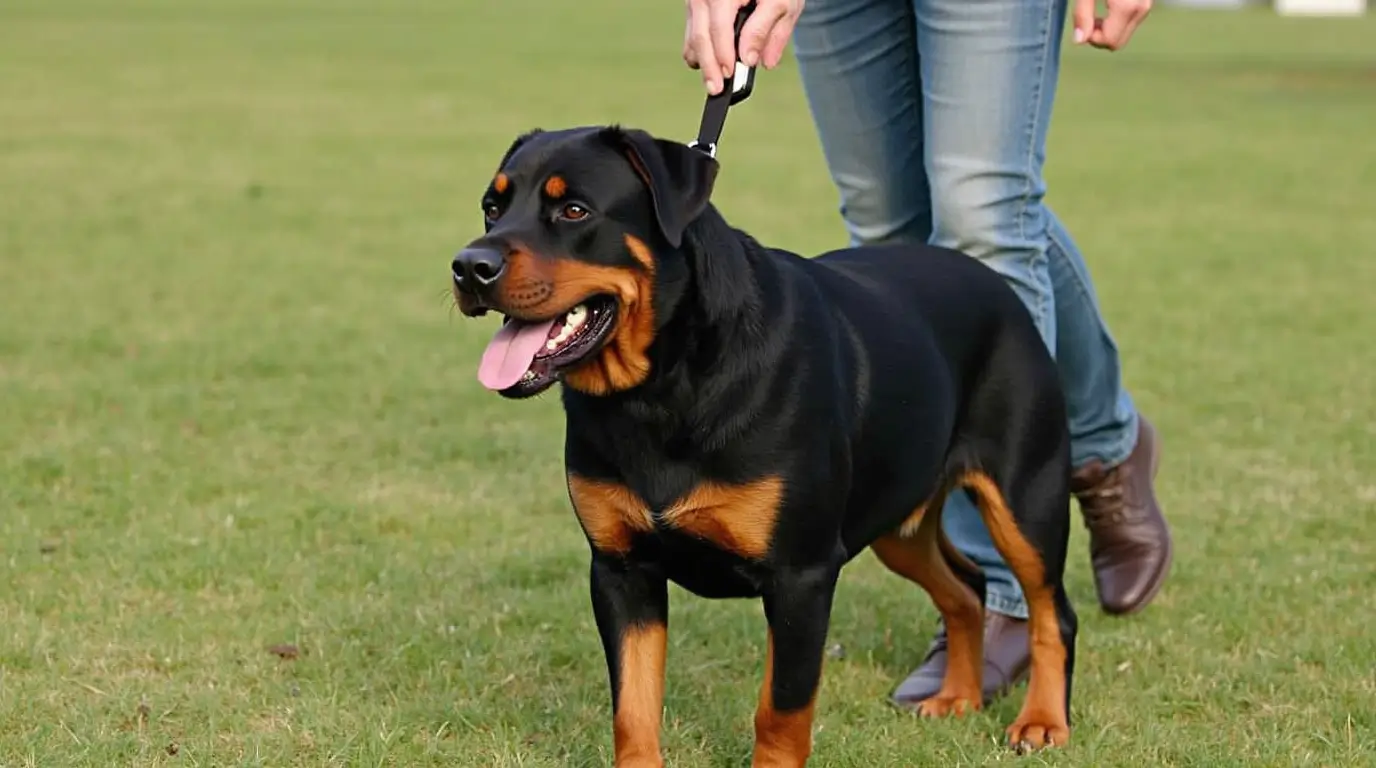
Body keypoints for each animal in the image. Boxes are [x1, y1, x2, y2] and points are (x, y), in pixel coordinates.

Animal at [451, 125, 1073, 765]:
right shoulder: (621, 569)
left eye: (574, 210)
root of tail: (995, 284)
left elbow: (781, 710)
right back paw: (958, 697)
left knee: (1053, 612)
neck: (661, 390)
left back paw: (1041, 722)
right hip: (896, 518)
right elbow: (633, 708)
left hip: (1027, 496)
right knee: (966, 591)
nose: (469, 266)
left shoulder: (802, 575)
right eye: (493, 208)